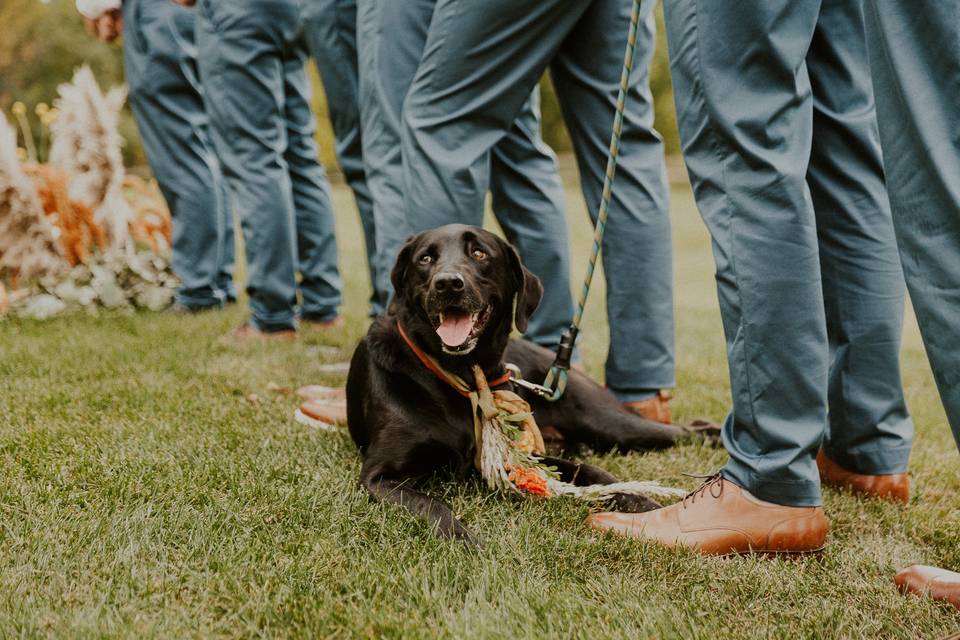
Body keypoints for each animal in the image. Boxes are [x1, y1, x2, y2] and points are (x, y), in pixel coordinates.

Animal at [348, 224, 692, 540]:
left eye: (479, 253)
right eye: (425, 258)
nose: (447, 283)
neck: (461, 376)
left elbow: (594, 473)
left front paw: (644, 504)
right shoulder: (380, 476)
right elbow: (431, 505)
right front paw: (464, 539)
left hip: (612, 422)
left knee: (687, 431)